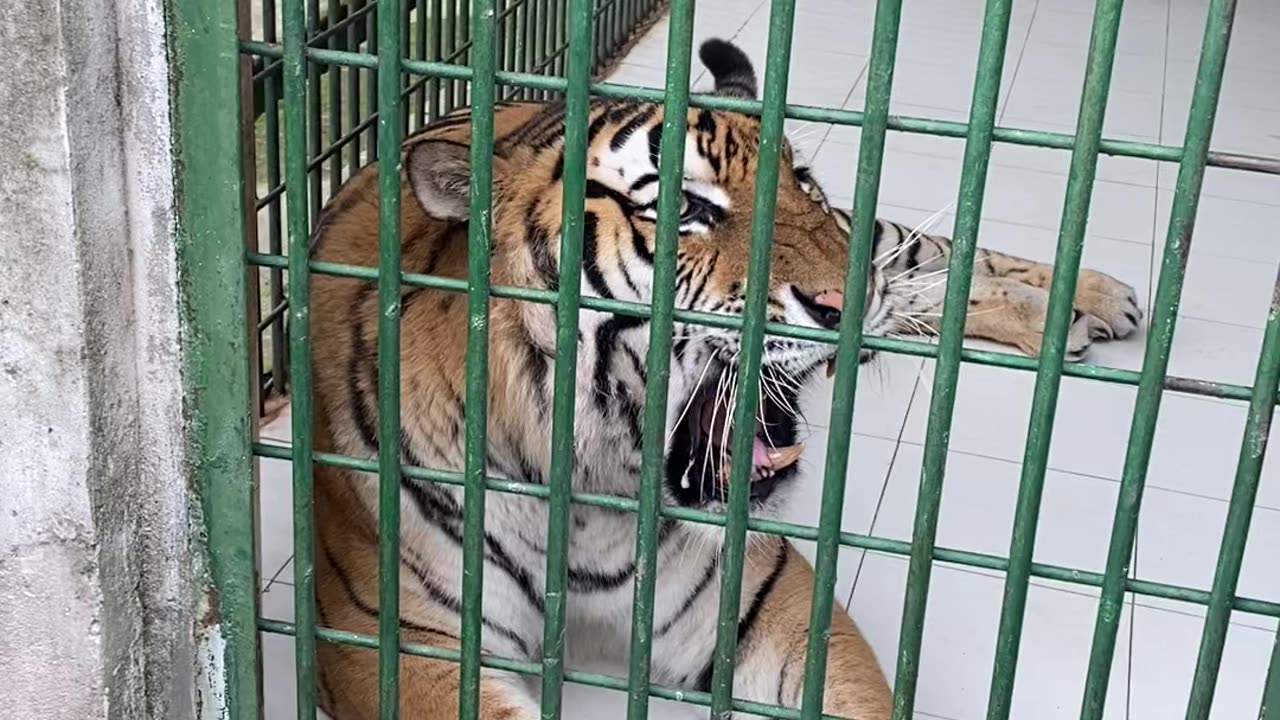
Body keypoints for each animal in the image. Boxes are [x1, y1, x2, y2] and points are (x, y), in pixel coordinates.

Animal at [304, 37, 1146, 717]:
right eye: (687, 208)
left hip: (870, 235)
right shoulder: (396, 644)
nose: (848, 300)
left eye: (799, 181)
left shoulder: (766, 604)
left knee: (930, 252)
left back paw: (1092, 300)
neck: (596, 497)